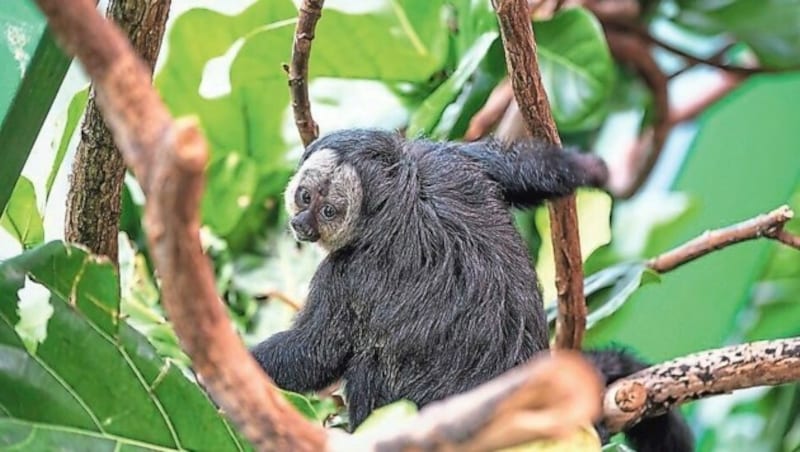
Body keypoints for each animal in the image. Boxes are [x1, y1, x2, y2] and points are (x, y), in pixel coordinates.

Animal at [253, 129, 692, 450]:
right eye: (305, 196)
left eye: (328, 211)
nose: (302, 222)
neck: (402, 196)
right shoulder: (443, 159)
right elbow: (524, 170)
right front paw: (591, 170)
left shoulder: (348, 272)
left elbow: (317, 351)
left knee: (368, 366)